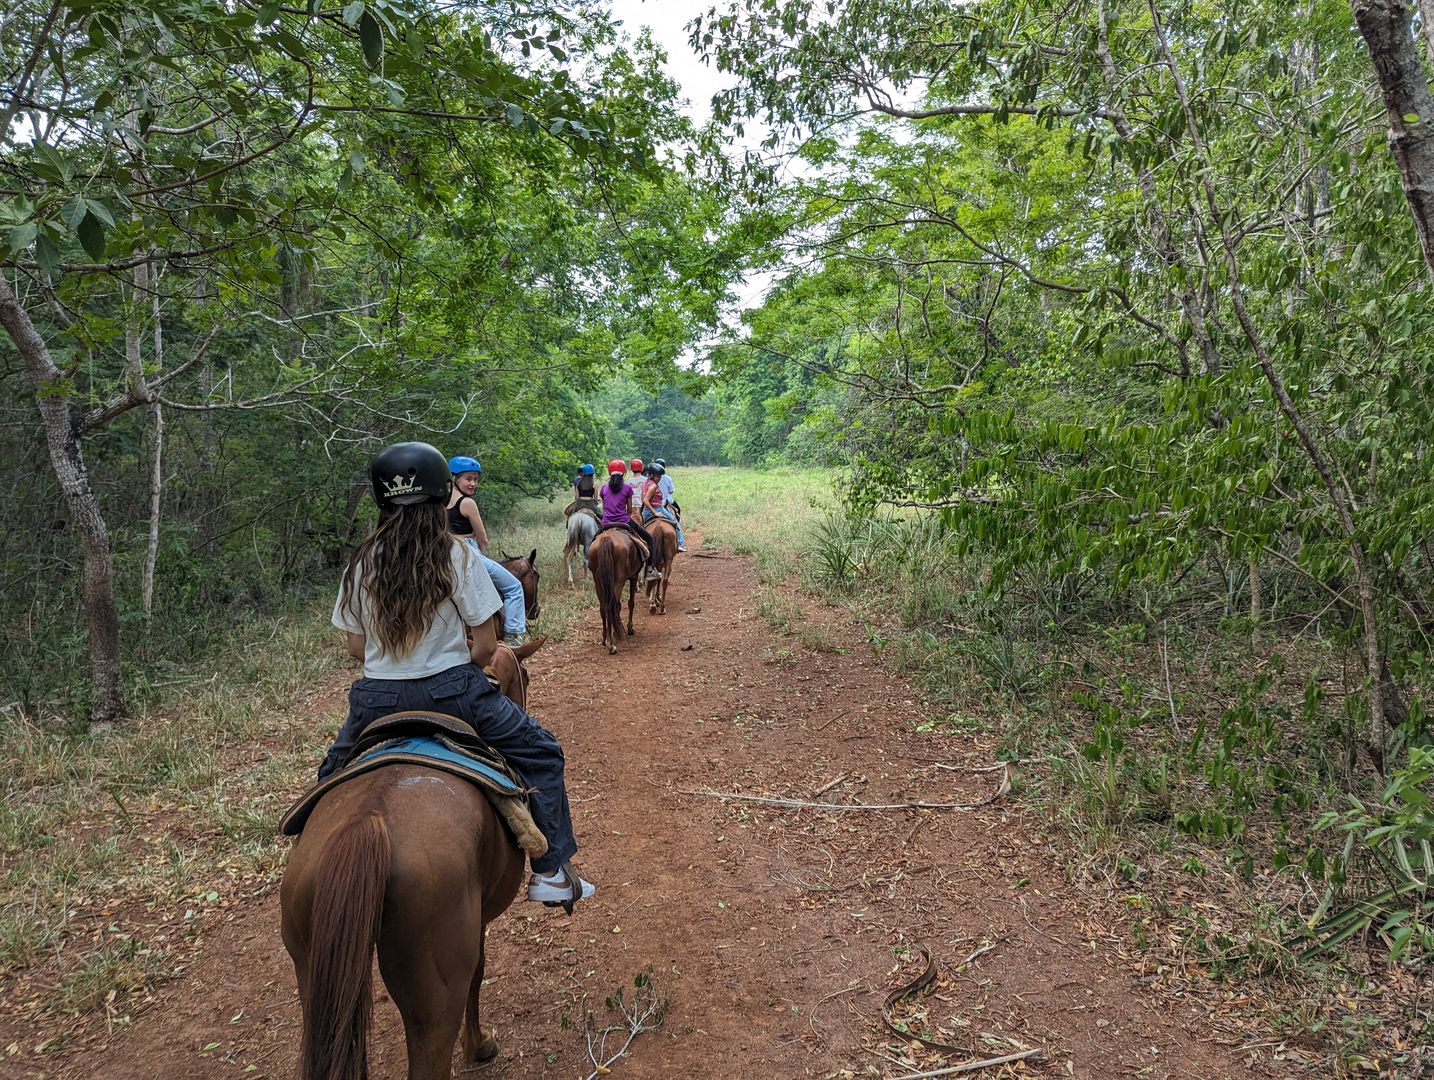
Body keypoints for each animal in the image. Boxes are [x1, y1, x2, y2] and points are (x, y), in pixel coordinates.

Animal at [279, 636, 542, 1072]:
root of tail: (368, 821)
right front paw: (479, 1046)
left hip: (311, 973)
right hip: (433, 1003)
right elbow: (478, 971)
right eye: (524, 676)